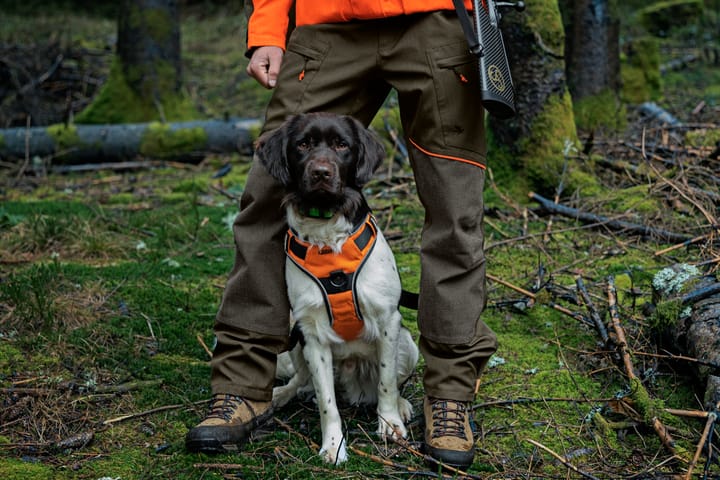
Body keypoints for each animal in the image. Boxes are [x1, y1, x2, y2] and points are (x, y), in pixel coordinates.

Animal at [256, 112, 420, 464]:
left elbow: (387, 382)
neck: (327, 233)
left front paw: (390, 423)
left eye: (341, 145)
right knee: (303, 381)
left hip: (408, 345)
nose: (321, 172)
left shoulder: (388, 320)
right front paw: (333, 445)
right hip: (296, 339)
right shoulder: (312, 332)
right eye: (303, 144)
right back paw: (282, 393)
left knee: (393, 381)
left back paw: (400, 405)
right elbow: (326, 402)